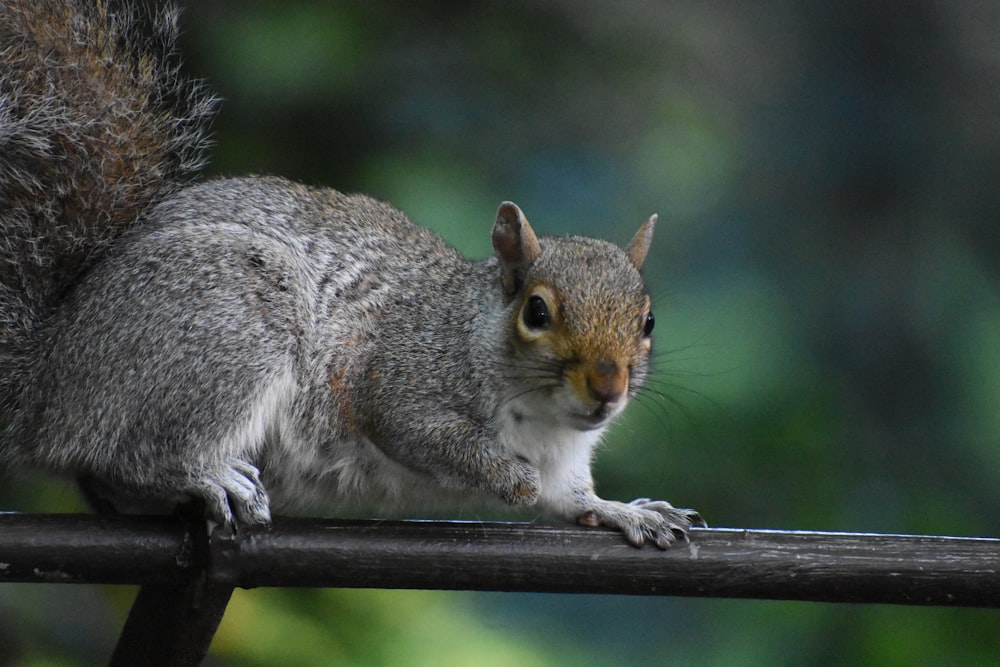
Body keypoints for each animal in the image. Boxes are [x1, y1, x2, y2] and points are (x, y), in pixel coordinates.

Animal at [1, 0, 704, 548]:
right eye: (536, 312)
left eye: (647, 321)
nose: (608, 389)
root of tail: (45, 385)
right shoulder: (399, 380)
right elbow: (421, 433)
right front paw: (512, 480)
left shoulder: (567, 460)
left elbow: (573, 500)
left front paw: (628, 512)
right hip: (230, 319)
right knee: (129, 454)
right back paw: (204, 474)